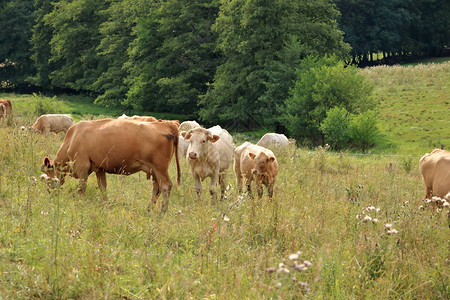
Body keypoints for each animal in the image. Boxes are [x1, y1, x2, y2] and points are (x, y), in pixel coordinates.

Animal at [40, 118, 181, 212]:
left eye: (47, 176)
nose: (49, 191)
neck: (72, 137)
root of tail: (167, 124)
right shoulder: (99, 168)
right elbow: (103, 187)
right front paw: (106, 204)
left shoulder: (82, 166)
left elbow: (81, 187)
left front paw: (79, 202)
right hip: (155, 170)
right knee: (156, 188)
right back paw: (149, 209)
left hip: (160, 168)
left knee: (166, 186)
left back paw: (162, 211)